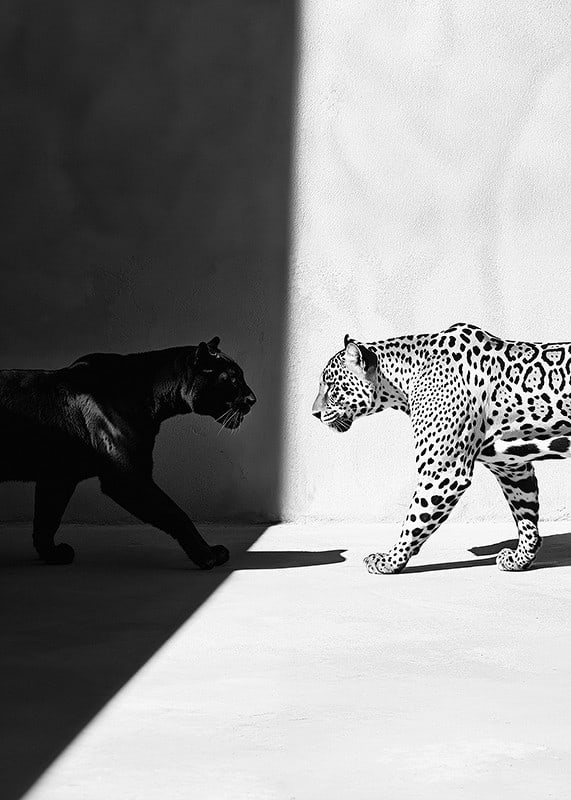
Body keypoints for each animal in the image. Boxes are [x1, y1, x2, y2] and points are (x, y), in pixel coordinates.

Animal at [0, 337, 255, 569]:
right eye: (233, 379)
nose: (253, 399)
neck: (151, 392)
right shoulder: (127, 476)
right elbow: (175, 513)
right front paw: (207, 555)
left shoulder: (58, 477)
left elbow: (46, 519)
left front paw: (52, 554)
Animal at [312, 322, 571, 574]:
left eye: (331, 386)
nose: (314, 413)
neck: (402, 380)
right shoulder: (510, 466)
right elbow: (525, 513)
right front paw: (520, 559)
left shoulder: (444, 471)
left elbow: (415, 519)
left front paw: (391, 560)